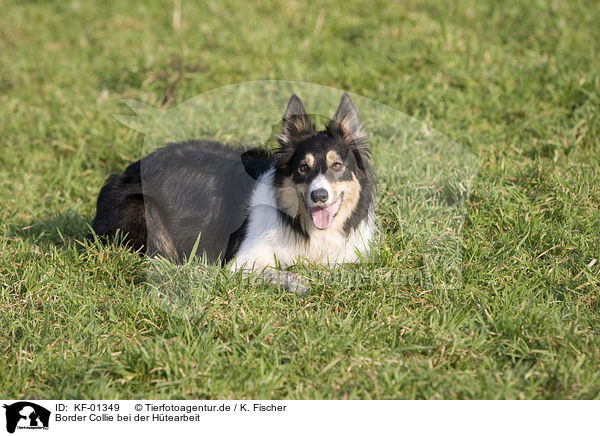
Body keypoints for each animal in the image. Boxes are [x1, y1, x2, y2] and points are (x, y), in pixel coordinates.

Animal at [91, 93, 376, 294]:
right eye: (303, 168)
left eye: (337, 165)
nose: (319, 196)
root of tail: (123, 173)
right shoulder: (240, 263)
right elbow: (277, 271)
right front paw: (299, 282)